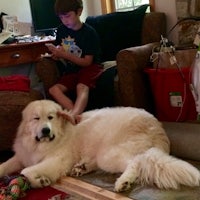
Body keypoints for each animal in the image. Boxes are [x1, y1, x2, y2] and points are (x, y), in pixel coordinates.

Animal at [0, 100, 200, 192]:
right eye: (36, 118)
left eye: (51, 117)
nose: (46, 130)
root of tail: (157, 126)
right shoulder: (21, 156)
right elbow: (6, 166)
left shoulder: (56, 161)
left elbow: (25, 171)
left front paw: (40, 181)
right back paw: (82, 168)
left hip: (108, 154)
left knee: (136, 162)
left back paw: (123, 182)